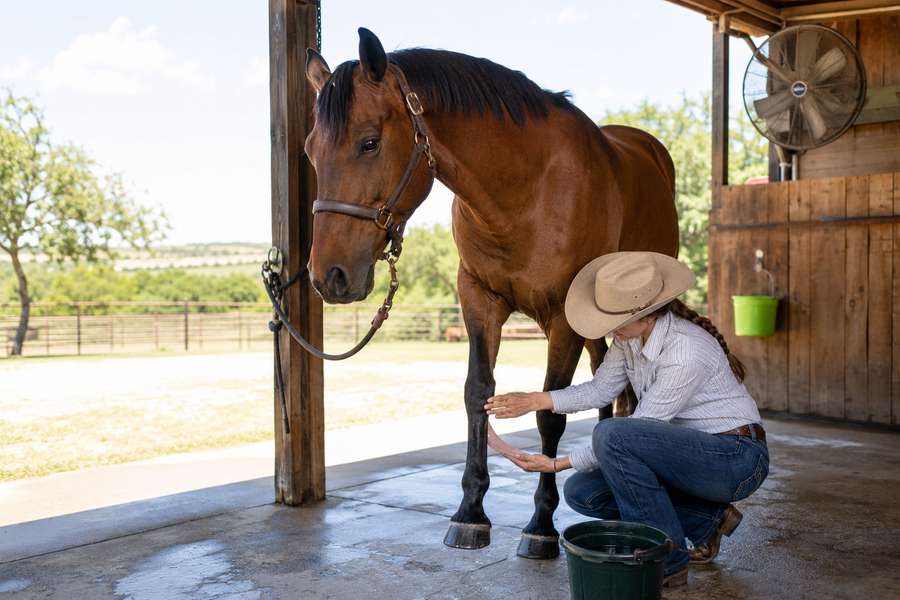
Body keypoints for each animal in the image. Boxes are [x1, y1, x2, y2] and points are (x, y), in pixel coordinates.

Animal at [303, 28, 679, 559]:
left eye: (369, 143)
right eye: (310, 151)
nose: (327, 276)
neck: (526, 188)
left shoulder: (562, 317)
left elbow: (550, 412)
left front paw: (541, 525)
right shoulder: (479, 299)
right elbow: (478, 394)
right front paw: (470, 513)